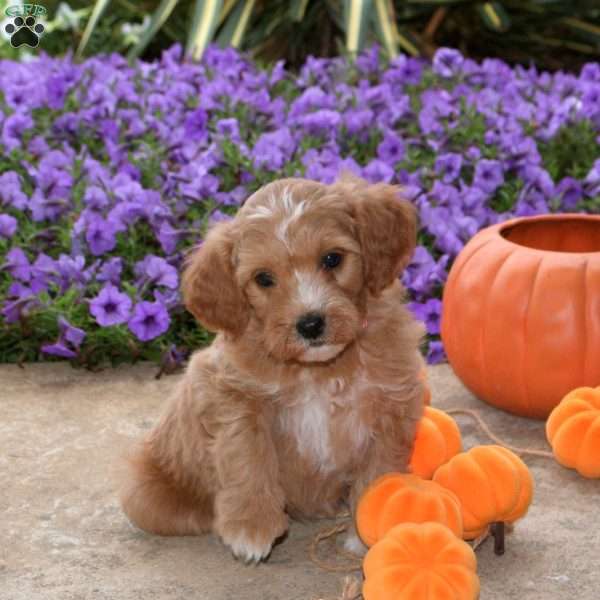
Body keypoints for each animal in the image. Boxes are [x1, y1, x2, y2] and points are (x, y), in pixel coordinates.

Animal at [118, 173, 426, 564]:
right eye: (263, 278)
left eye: (332, 258)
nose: (310, 323)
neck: (319, 370)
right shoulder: (233, 396)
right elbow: (247, 458)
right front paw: (251, 527)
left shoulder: (391, 401)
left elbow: (380, 470)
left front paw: (367, 529)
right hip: (144, 494)